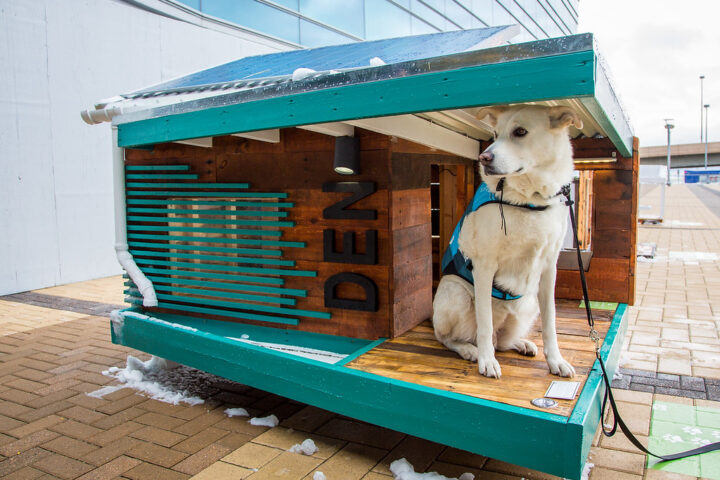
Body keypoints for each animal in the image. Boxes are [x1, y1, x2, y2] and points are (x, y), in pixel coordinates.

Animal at [434, 104, 580, 378]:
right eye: (495, 134)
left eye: (520, 132)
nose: (484, 158)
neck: (531, 200)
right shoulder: (484, 265)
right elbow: (484, 323)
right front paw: (486, 361)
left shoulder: (549, 268)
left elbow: (551, 322)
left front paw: (555, 360)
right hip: (456, 294)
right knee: (450, 337)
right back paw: (470, 350)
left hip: (529, 304)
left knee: (502, 342)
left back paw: (521, 343)